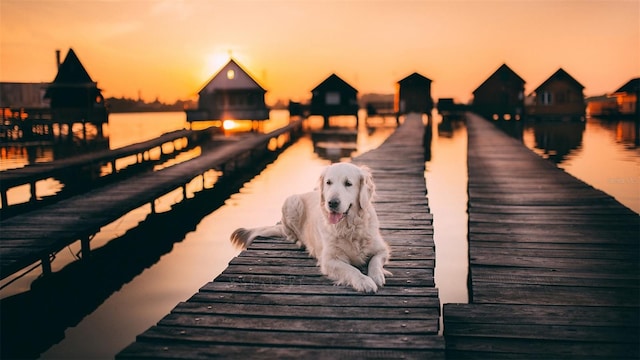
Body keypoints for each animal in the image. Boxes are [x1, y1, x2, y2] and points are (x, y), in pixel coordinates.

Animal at [230, 162, 390, 292]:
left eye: (348, 183)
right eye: (328, 182)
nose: (332, 203)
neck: (349, 227)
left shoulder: (383, 249)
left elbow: (375, 261)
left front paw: (377, 275)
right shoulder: (329, 260)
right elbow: (351, 270)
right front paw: (364, 281)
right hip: (292, 201)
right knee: (290, 233)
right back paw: (301, 242)